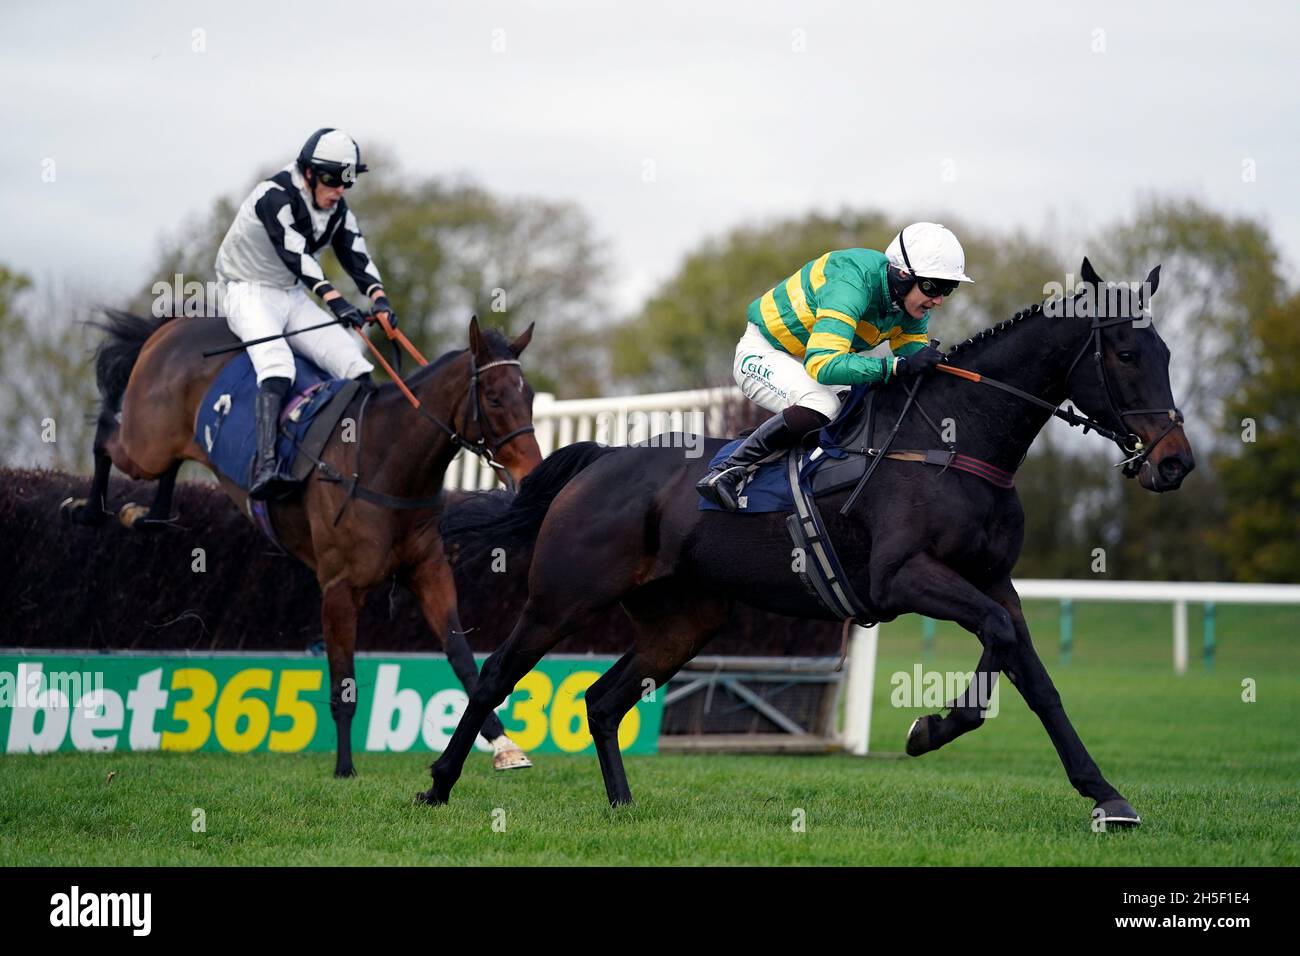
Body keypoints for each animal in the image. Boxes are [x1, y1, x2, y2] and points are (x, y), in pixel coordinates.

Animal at [62, 314, 543, 780]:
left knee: (163, 471)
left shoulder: (429, 570)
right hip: (146, 444)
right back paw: (86, 509)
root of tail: (173, 325)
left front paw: (504, 745)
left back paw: (145, 514)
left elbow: (463, 659)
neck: (383, 462)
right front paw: (345, 768)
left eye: (531, 396)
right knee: (107, 435)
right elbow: (343, 684)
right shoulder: (338, 589)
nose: (532, 475)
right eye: (495, 398)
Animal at [421, 257, 1190, 827]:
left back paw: (622, 805)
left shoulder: (995, 581)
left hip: (686, 619)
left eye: (1166, 352)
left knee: (603, 701)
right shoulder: (903, 576)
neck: (952, 442)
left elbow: (1035, 678)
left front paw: (1105, 795)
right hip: (562, 597)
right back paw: (438, 784)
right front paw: (929, 730)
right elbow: (997, 642)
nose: (1175, 461)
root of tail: (602, 458)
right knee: (494, 676)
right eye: (1126, 352)